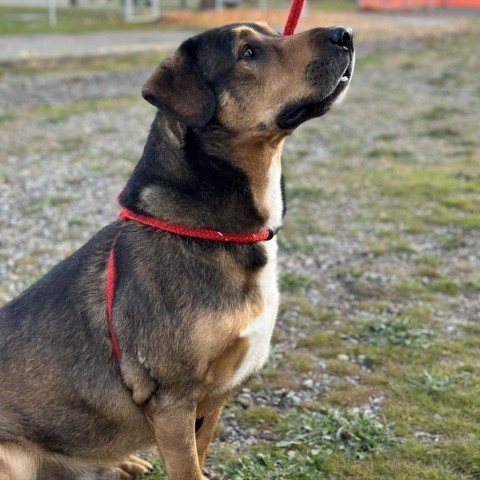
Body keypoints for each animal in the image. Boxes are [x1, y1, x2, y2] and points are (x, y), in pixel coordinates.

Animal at [0, 20, 352, 478]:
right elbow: (189, 470)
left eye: (276, 31)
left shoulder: (210, 402)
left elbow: (198, 459)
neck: (210, 231)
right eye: (248, 52)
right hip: (12, 457)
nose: (345, 35)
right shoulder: (172, 401)